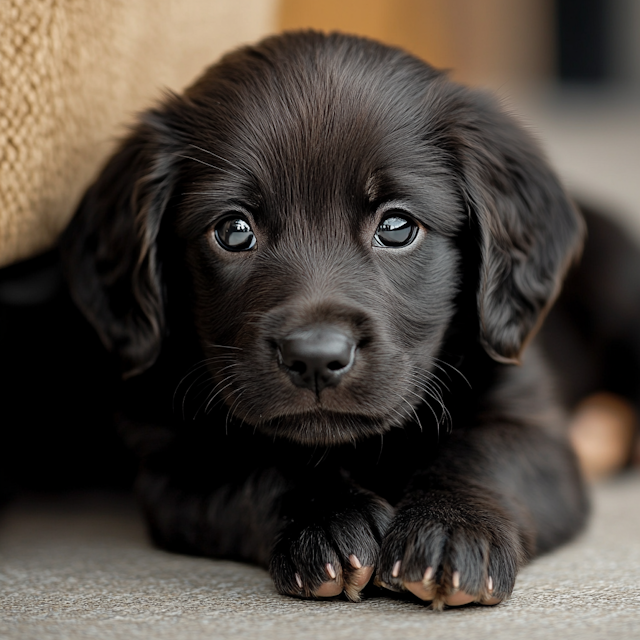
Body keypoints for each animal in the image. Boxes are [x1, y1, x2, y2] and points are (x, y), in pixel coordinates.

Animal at [62, 31, 588, 608]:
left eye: (398, 227)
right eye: (233, 231)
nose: (315, 359)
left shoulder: (536, 430)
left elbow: (485, 455)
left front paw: (453, 527)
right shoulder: (174, 467)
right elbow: (262, 468)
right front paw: (330, 519)